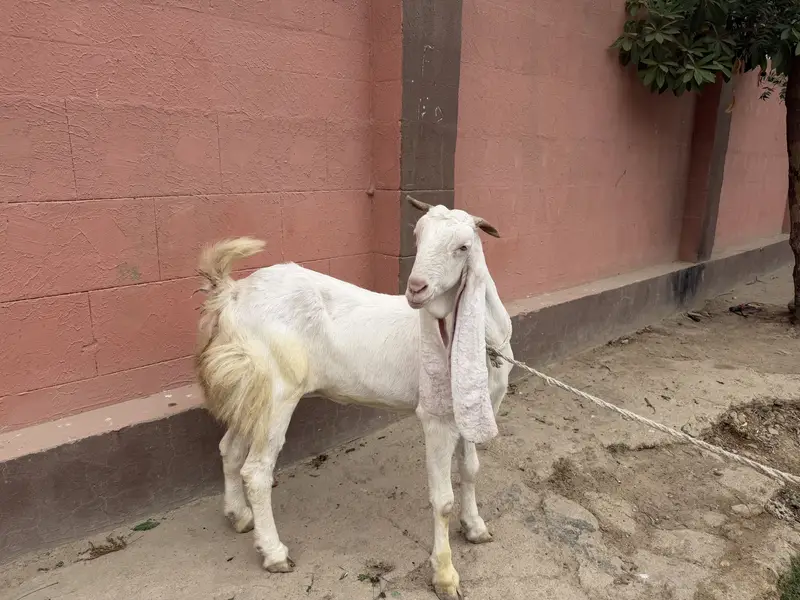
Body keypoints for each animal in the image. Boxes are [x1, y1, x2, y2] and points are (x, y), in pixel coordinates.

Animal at [195, 197, 513, 600]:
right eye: (417, 236)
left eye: (463, 247)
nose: (416, 288)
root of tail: (231, 294)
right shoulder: (436, 417)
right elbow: (442, 500)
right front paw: (445, 575)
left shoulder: (475, 407)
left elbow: (470, 470)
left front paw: (475, 528)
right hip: (278, 390)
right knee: (256, 470)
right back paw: (275, 553)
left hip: (253, 392)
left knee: (230, 449)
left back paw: (239, 517)